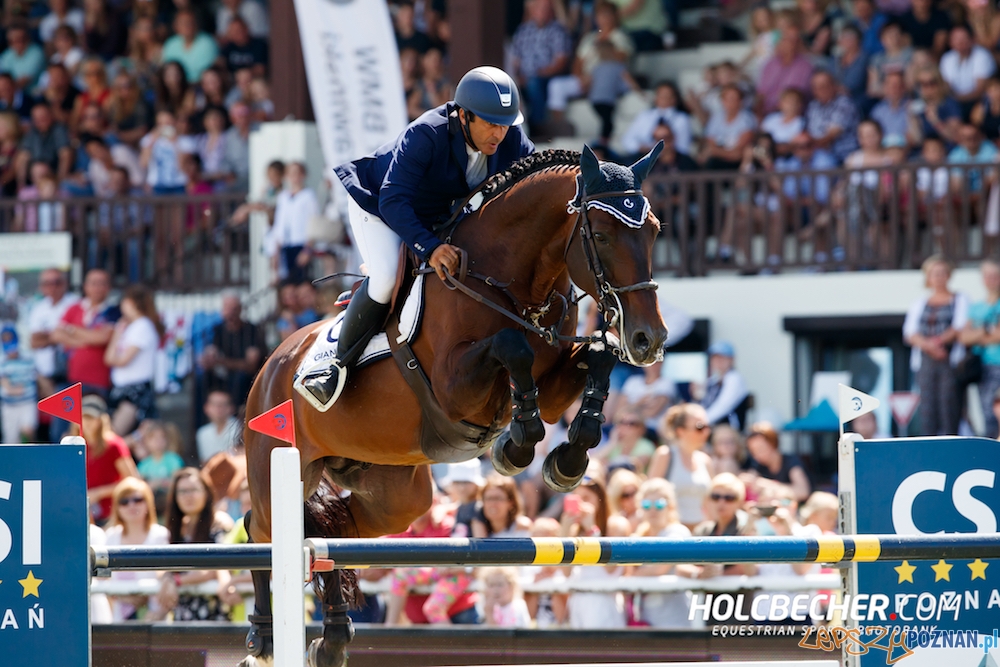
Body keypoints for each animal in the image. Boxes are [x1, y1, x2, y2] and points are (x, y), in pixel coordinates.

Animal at [238, 146, 668, 667]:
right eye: (602, 235)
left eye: (654, 231)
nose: (649, 340)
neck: (514, 284)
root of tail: (269, 366)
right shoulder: (453, 386)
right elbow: (511, 347)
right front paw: (516, 446)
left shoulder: (555, 382)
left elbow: (599, 358)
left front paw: (567, 458)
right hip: (280, 461)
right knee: (260, 526)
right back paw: (263, 637)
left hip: (393, 494)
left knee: (327, 530)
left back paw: (335, 637)